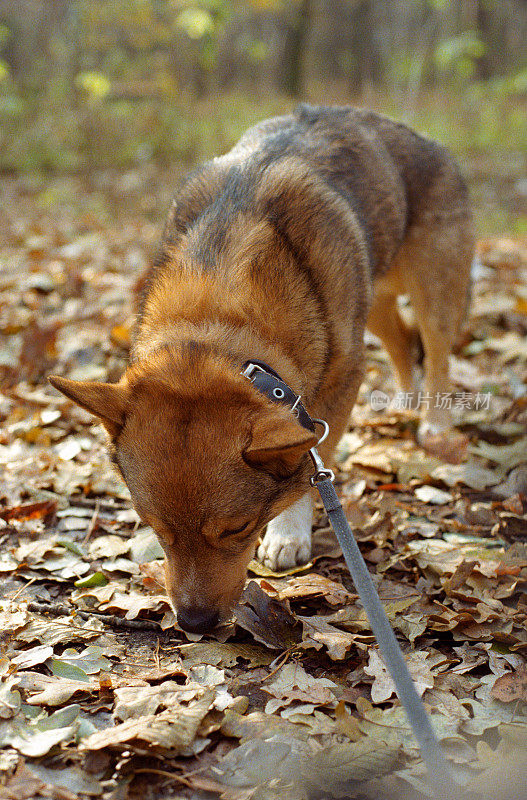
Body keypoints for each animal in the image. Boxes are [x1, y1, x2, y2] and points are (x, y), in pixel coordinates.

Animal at [50, 104, 474, 632]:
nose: (193, 623)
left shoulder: (340, 381)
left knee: (435, 352)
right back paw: (402, 403)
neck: (217, 314)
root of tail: (425, 138)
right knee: (402, 342)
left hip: (433, 290)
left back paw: (434, 421)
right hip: (373, 299)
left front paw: (288, 533)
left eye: (239, 528)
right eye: (155, 529)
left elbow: (315, 459)